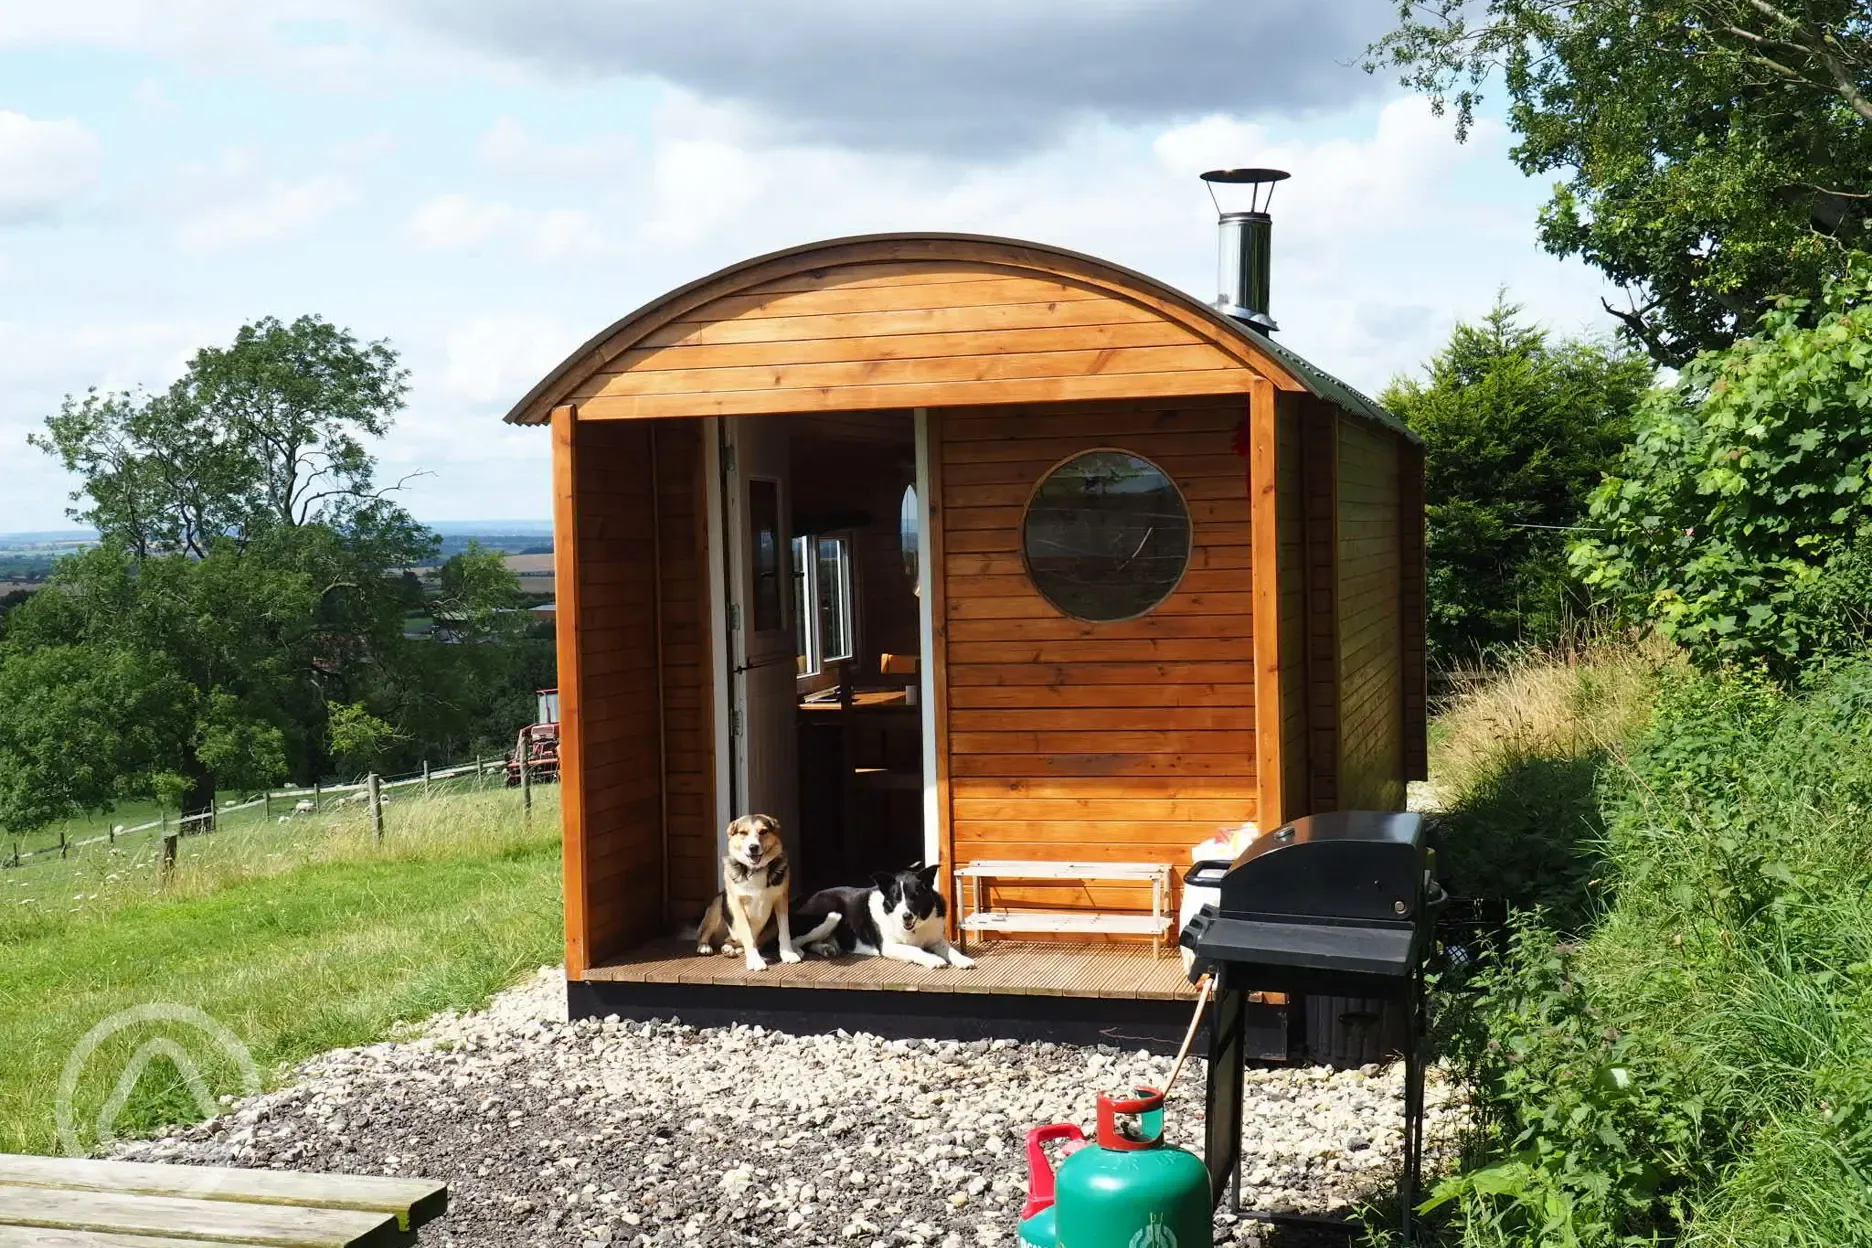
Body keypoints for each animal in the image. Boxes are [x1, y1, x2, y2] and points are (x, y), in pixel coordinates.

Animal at [696, 815, 827, 972]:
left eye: (763, 831)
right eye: (743, 832)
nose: (753, 847)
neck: (756, 870)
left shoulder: (781, 900)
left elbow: (785, 931)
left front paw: (788, 953)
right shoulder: (738, 904)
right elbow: (748, 935)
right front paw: (755, 961)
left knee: (733, 942)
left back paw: (729, 949)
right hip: (717, 905)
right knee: (706, 934)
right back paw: (705, 946)